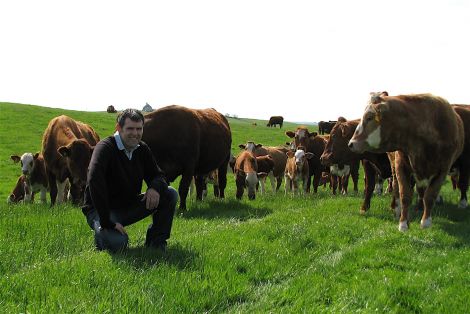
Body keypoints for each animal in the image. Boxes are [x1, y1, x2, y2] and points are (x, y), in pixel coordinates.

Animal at [346, 92, 464, 231]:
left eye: (369, 118)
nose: (351, 143)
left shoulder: (442, 171)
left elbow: (430, 196)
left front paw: (425, 222)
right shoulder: (401, 167)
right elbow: (405, 195)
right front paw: (403, 223)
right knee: (396, 188)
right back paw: (398, 210)